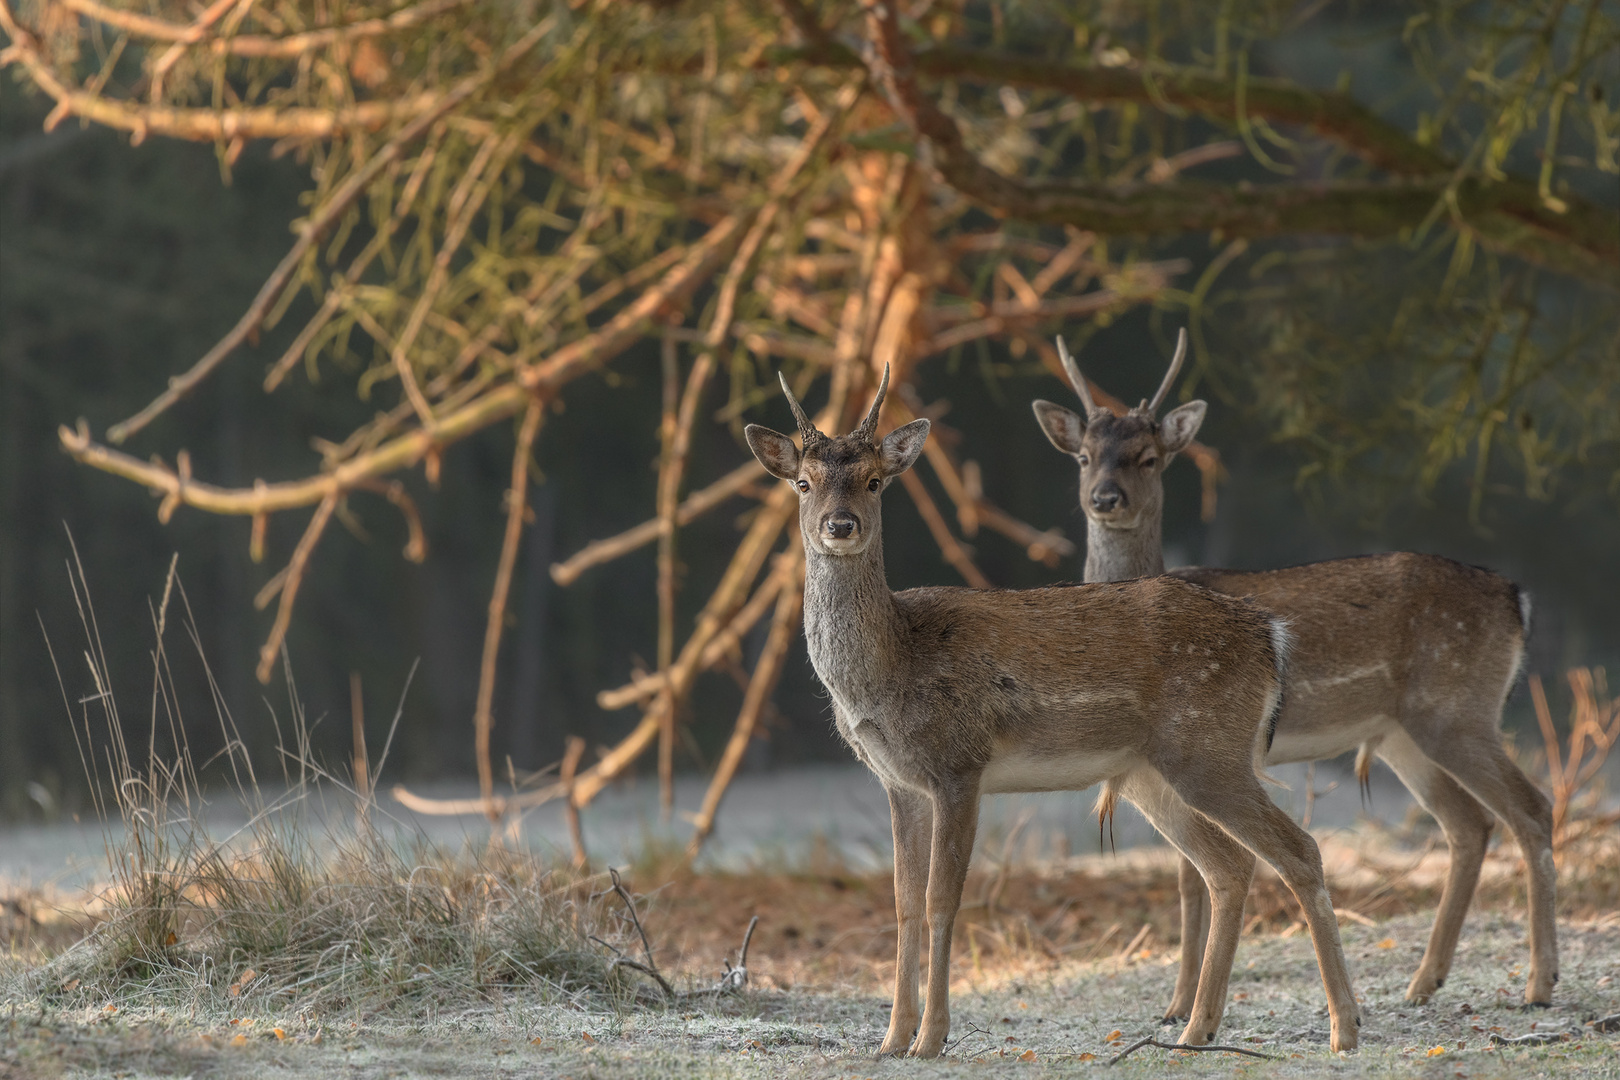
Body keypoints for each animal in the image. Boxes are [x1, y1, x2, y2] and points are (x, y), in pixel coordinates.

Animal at [751, 367, 1360, 1062]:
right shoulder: (898, 782)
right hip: (1155, 773)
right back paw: (1195, 1029)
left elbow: (940, 900)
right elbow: (902, 902)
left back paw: (1344, 1028)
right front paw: (890, 1039)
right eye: (803, 482)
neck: (889, 665)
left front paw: (930, 1038)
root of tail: (1270, 637)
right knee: (1229, 867)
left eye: (875, 480)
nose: (841, 524)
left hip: (1209, 750)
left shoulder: (959, 764)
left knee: (1299, 849)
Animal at [1036, 331, 1555, 1023]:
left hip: (1457, 709)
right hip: (1403, 733)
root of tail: (1515, 599)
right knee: (1470, 823)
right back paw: (1423, 982)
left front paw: (1179, 1005)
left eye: (1148, 457)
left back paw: (1538, 983)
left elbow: (1190, 873)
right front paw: (1179, 1004)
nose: (1105, 499)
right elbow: (1188, 869)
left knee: (1530, 808)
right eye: (1084, 456)